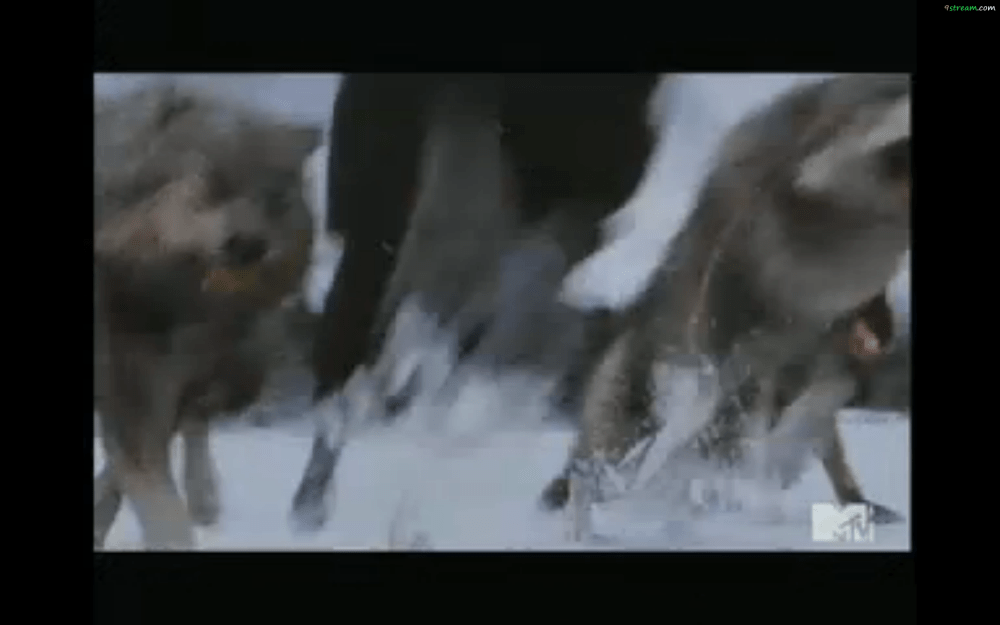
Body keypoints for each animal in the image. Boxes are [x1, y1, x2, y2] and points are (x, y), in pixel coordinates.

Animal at [93, 84, 320, 549]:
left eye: (272, 197)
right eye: (211, 184)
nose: (249, 246)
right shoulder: (130, 392)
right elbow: (153, 495)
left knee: (195, 424)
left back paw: (205, 499)